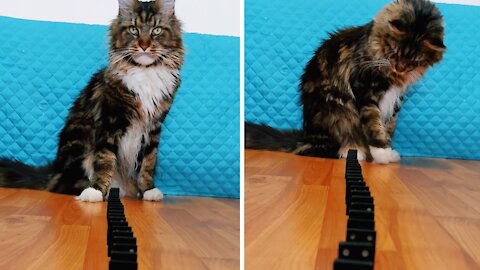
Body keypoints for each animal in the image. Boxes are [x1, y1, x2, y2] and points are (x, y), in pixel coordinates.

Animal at [0, 0, 184, 201]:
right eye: (133, 30)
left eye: (156, 30)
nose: (143, 46)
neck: (145, 72)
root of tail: (54, 172)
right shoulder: (109, 122)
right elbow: (105, 160)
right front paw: (96, 191)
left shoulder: (153, 127)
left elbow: (148, 163)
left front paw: (148, 191)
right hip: (79, 143)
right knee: (64, 184)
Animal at [248, 0, 446, 165]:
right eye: (393, 53)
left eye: (413, 62)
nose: (399, 68)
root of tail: (307, 138)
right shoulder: (365, 89)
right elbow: (374, 124)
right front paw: (381, 153)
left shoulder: (397, 98)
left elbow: (389, 125)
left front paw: (389, 151)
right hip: (338, 112)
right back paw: (355, 152)